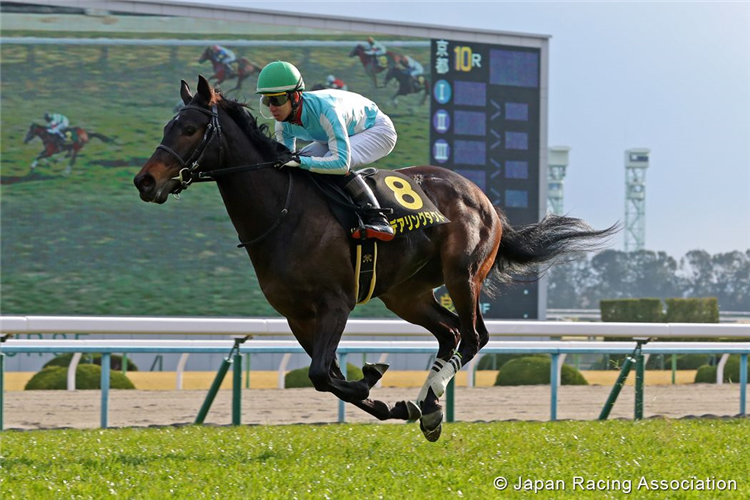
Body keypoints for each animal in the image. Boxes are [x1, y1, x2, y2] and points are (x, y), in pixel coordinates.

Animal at [135, 75, 616, 442]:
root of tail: (485, 200)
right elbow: (326, 376)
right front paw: (387, 398)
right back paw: (428, 406)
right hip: (406, 295)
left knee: (473, 336)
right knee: (449, 333)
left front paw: (375, 378)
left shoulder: (336, 303)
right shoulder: (297, 315)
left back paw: (430, 399)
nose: (145, 181)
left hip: (462, 275)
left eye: (190, 129)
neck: (285, 212)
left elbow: (321, 374)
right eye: (168, 126)